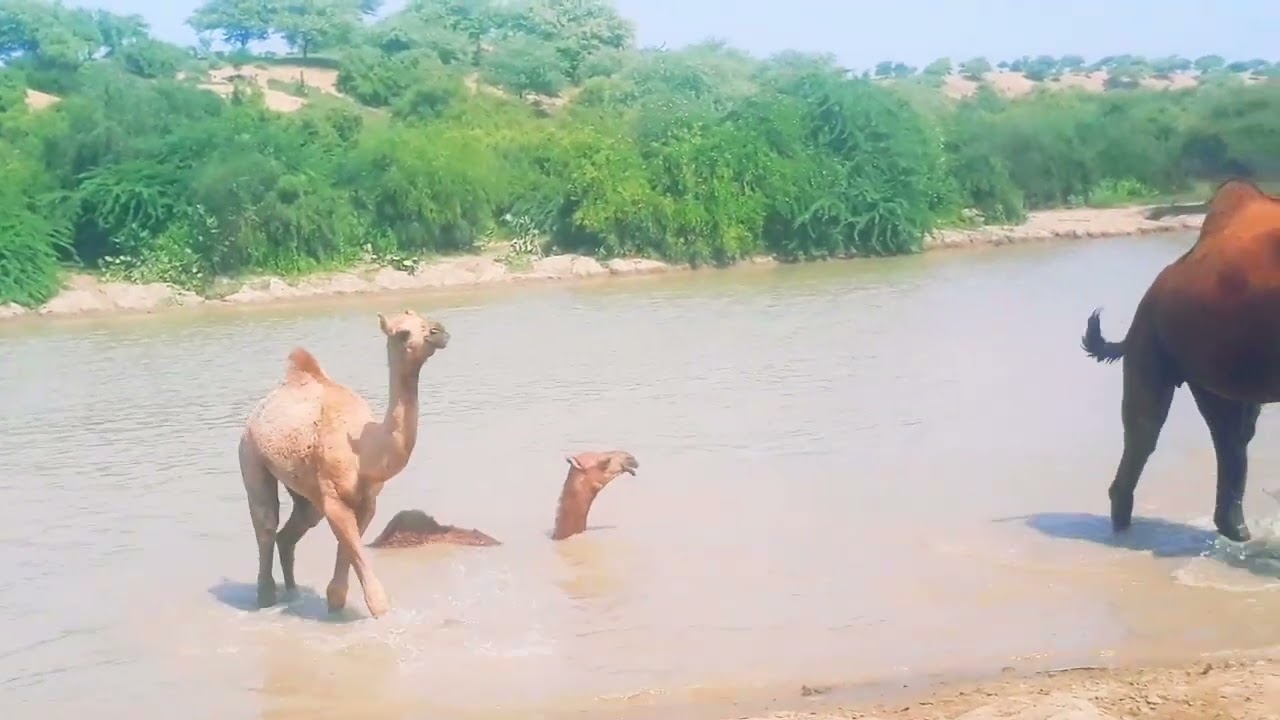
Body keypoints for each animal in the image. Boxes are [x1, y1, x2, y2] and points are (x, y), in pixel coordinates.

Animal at [238, 309, 450, 618]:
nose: (438, 331)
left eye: (425, 320)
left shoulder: (367, 501)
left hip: (306, 494)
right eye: (402, 333)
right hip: (249, 453)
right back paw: (265, 598)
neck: (364, 451)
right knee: (266, 522)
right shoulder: (334, 498)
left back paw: (293, 594)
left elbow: (347, 553)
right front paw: (378, 614)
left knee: (291, 530)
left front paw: (334, 603)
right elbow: (359, 564)